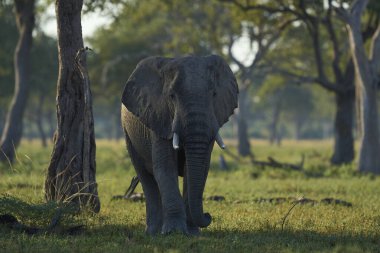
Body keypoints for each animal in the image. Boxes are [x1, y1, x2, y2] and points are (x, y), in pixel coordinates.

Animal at [121, 53, 238, 235]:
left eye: (214, 94)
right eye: (171, 96)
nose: (208, 215)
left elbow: (198, 169)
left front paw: (192, 233)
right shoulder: (159, 116)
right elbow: (166, 168)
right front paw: (174, 232)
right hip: (128, 133)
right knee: (145, 176)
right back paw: (153, 232)